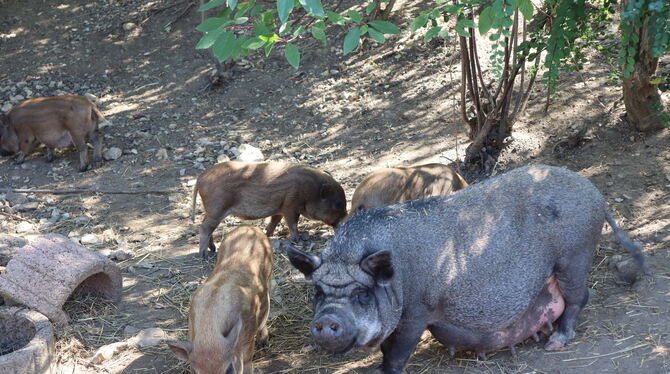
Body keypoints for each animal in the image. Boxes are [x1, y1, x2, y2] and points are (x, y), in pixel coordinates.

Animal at [286, 165, 648, 374]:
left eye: (362, 294)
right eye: (317, 292)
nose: (326, 320)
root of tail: (594, 193)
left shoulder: (417, 310)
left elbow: (396, 354)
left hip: (574, 254)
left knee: (578, 298)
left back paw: (555, 343)